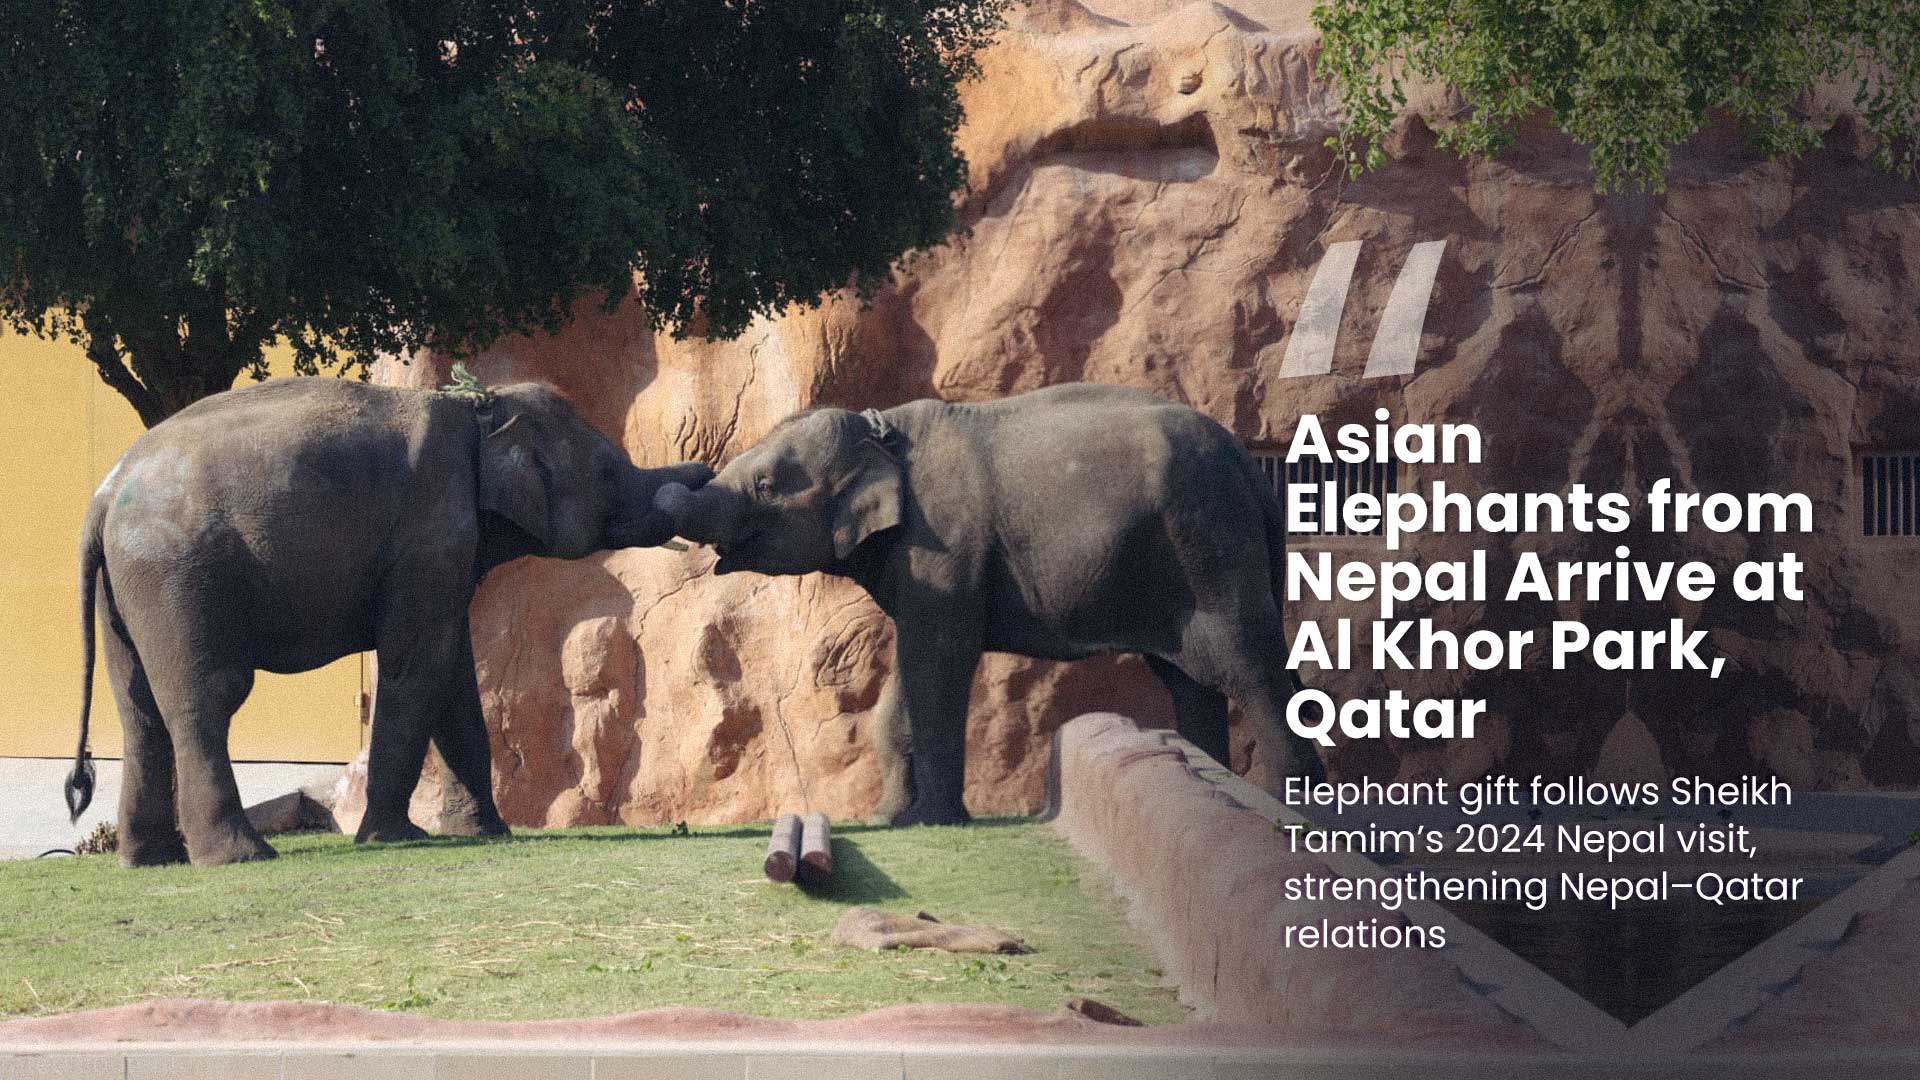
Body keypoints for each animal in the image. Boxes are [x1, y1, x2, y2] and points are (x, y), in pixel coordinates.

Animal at [65, 374, 711, 867]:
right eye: (608, 473)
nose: (704, 472)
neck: (478, 410)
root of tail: (103, 498)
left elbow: (454, 676)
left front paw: (486, 832)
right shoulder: (430, 535)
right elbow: (415, 665)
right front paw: (394, 838)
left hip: (130, 589)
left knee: (138, 710)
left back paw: (150, 860)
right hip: (176, 575)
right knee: (207, 698)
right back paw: (241, 857)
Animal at [654, 382, 1326, 826]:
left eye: (766, 485)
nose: (678, 480)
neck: (881, 428)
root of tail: (1252, 467)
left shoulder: (946, 546)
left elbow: (937, 662)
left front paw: (932, 821)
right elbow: (906, 675)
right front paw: (890, 821)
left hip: (1207, 537)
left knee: (1248, 666)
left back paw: (1301, 817)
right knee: (1191, 679)